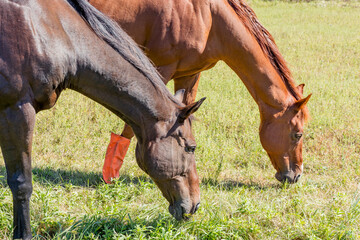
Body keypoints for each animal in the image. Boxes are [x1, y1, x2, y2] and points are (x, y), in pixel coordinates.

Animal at [90, 0, 312, 184]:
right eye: (297, 134)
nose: (296, 175)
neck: (209, 18)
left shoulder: (190, 74)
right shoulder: (160, 69)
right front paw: (111, 173)